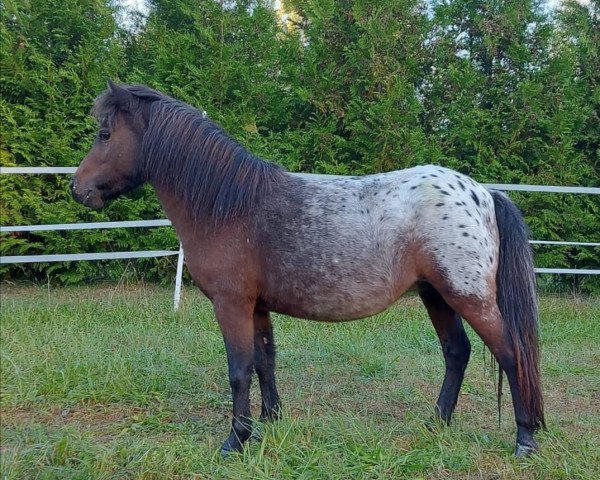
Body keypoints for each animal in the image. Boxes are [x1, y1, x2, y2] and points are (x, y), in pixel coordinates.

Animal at [70, 80, 544, 456]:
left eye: (105, 133)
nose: (78, 189)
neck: (229, 207)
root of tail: (483, 193)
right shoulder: (257, 306)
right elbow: (265, 360)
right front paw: (270, 422)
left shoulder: (231, 304)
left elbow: (239, 370)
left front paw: (235, 441)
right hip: (436, 295)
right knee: (456, 352)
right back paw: (437, 424)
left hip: (467, 297)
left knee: (510, 354)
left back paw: (525, 439)